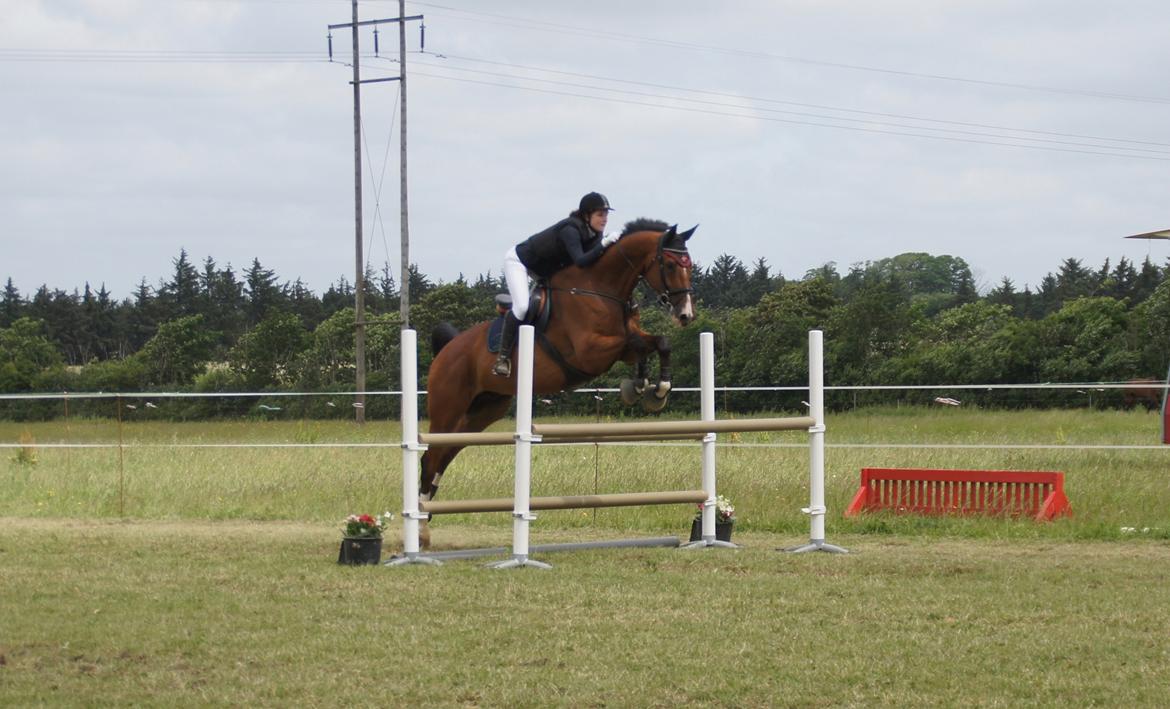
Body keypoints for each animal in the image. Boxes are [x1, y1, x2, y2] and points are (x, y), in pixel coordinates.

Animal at [418, 219, 692, 547]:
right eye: (670, 263)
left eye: (690, 264)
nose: (686, 314)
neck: (600, 288)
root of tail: (447, 350)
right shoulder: (591, 353)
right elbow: (635, 342)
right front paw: (650, 388)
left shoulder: (625, 344)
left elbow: (656, 343)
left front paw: (650, 388)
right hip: (448, 408)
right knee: (430, 457)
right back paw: (419, 527)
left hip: (483, 411)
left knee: (444, 455)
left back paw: (426, 515)